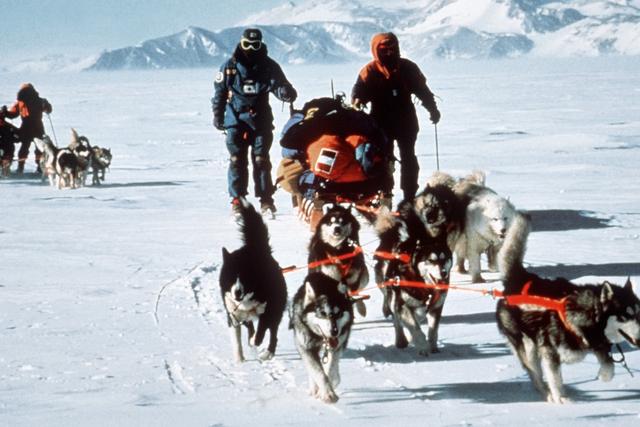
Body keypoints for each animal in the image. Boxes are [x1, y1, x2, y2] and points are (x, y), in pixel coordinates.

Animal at [221, 199, 288, 362]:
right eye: (230, 277)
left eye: (246, 276)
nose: (237, 292)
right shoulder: (233, 315)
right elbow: (237, 338)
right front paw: (239, 361)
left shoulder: (268, 311)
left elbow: (260, 333)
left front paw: (254, 341)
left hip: (276, 311)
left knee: (273, 334)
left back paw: (268, 353)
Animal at [292, 272, 356, 402]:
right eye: (322, 314)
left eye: (338, 314)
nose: (334, 331)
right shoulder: (306, 348)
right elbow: (318, 372)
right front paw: (327, 393)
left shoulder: (338, 345)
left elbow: (330, 368)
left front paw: (331, 383)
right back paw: (314, 388)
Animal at [500, 214, 640, 404]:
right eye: (625, 317)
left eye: (639, 315)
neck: (586, 315)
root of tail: (519, 278)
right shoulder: (549, 351)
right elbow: (555, 378)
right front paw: (561, 398)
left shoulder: (597, 343)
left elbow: (608, 364)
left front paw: (603, 375)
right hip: (527, 346)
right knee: (535, 374)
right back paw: (547, 394)